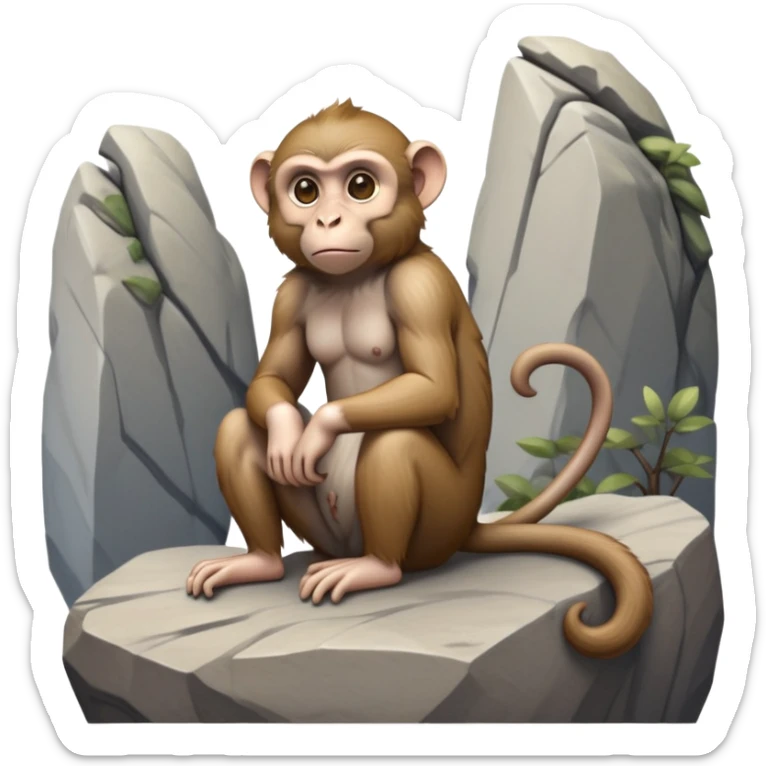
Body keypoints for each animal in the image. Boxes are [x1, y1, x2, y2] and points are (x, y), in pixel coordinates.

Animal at [185, 100, 653, 661]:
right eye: (306, 190)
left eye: (360, 185)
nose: (328, 219)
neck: (357, 278)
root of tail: (469, 527)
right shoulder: (291, 294)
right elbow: (272, 379)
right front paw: (287, 434)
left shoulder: (420, 288)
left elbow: (433, 389)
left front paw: (318, 430)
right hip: (325, 535)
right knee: (238, 426)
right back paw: (260, 560)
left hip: (436, 531)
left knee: (396, 440)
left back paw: (376, 568)